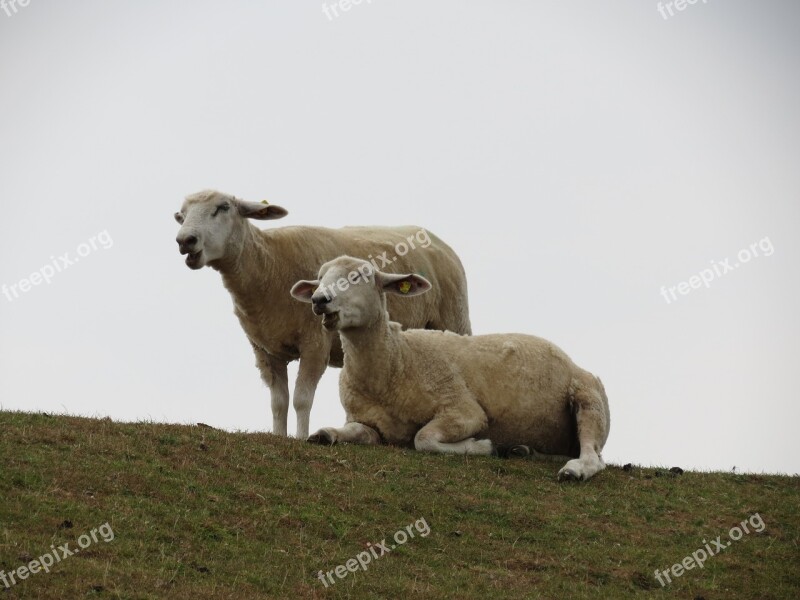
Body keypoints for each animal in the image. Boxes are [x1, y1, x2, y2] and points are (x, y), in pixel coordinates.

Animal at [173, 190, 472, 438]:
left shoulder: (315, 342)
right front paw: (279, 437)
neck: (267, 267)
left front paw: (301, 438)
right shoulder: (265, 351)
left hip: (455, 320)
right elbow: (278, 402)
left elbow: (301, 399)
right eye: (181, 215)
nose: (185, 240)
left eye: (223, 207)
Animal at [294, 255, 612, 480]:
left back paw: (573, 470)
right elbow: (350, 432)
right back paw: (524, 451)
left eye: (360, 276)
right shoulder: (367, 421)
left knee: (593, 455)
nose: (319, 299)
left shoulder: (464, 410)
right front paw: (324, 434)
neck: (396, 360)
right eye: (319, 278)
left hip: (588, 399)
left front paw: (484, 447)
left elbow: (423, 439)